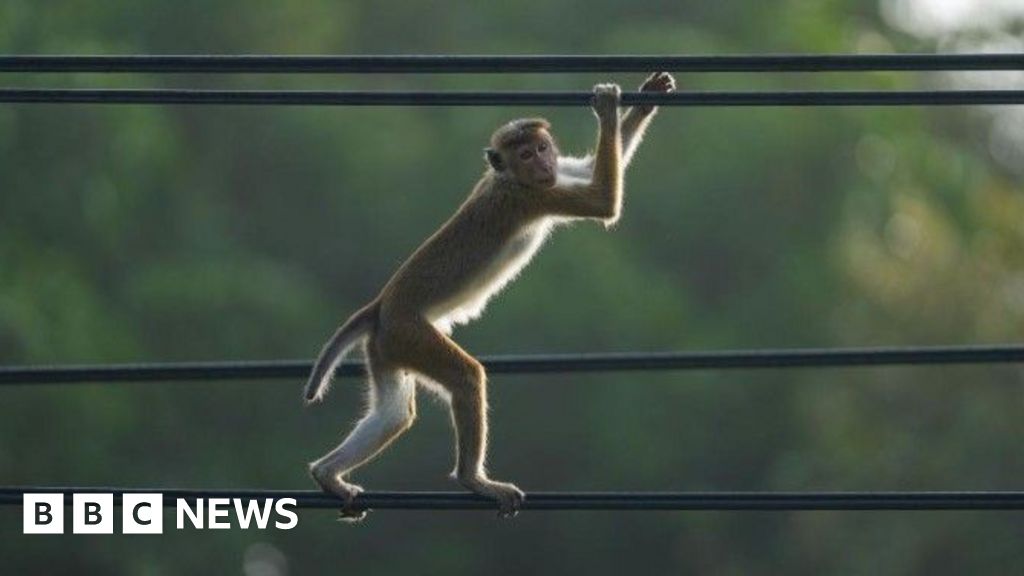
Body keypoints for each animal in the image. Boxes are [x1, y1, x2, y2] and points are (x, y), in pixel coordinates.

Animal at [305, 72, 676, 520]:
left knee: (393, 415)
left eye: (542, 148)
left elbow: (588, 167)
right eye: (525, 154)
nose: (543, 163)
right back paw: (473, 480)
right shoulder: (532, 196)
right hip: (410, 334)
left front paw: (645, 100)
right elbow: (603, 200)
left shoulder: (547, 182)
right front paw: (606, 108)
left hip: (387, 346)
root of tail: (381, 306)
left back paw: (327, 474)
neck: (509, 179)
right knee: (465, 378)